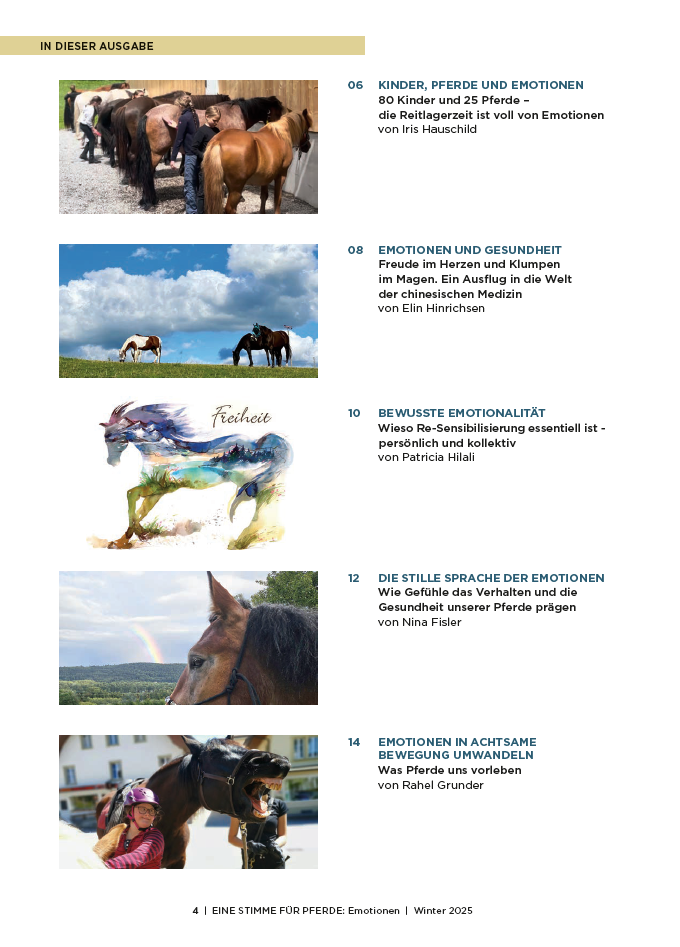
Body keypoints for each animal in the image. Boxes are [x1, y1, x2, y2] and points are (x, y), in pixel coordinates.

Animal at [99, 402, 293, 549]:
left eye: (111, 438)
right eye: (106, 438)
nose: (111, 462)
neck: (158, 452)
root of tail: (259, 443)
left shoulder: (162, 486)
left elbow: (131, 495)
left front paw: (138, 535)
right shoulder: (158, 492)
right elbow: (141, 511)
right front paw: (125, 539)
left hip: (251, 481)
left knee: (263, 502)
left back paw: (244, 540)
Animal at [135, 96, 284, 210]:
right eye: (279, 113)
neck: (238, 113)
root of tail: (149, 114)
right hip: (156, 153)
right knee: (148, 173)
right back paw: (148, 201)